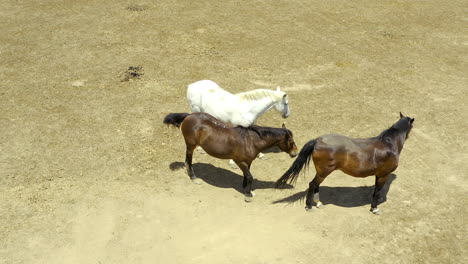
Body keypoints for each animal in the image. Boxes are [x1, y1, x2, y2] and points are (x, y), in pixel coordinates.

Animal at [163, 112, 298, 202]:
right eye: (290, 141)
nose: (296, 153)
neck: (251, 140)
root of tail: (189, 116)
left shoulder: (248, 161)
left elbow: (247, 175)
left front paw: (246, 189)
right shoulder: (240, 161)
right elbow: (250, 176)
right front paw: (248, 195)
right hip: (191, 146)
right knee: (188, 161)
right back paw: (194, 178)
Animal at [276, 113, 414, 214]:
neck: (388, 144)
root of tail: (317, 141)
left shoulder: (378, 174)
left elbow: (375, 190)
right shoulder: (384, 175)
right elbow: (378, 191)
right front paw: (375, 208)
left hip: (321, 172)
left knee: (316, 185)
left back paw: (319, 204)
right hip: (324, 172)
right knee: (312, 184)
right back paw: (309, 206)